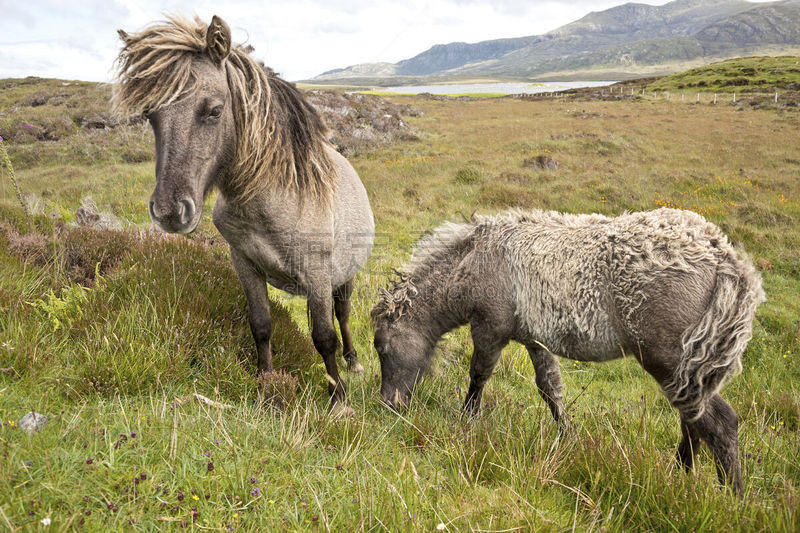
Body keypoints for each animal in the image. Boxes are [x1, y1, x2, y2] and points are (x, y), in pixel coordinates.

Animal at [114, 15, 374, 412]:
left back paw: (354, 362)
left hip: (345, 275)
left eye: (214, 110)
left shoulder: (317, 274)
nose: (170, 211)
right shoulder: (245, 263)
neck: (271, 200)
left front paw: (339, 399)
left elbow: (324, 336)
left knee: (343, 314)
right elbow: (261, 324)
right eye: (149, 116)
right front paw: (266, 383)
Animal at [372, 207, 764, 490]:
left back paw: (731, 497)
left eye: (381, 347)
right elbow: (550, 389)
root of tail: (725, 259)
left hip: (668, 362)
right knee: (693, 421)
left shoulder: (489, 329)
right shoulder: (534, 340)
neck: (476, 259)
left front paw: (467, 421)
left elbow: (478, 376)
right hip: (685, 371)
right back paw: (681, 475)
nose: (388, 405)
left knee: (719, 423)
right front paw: (568, 438)